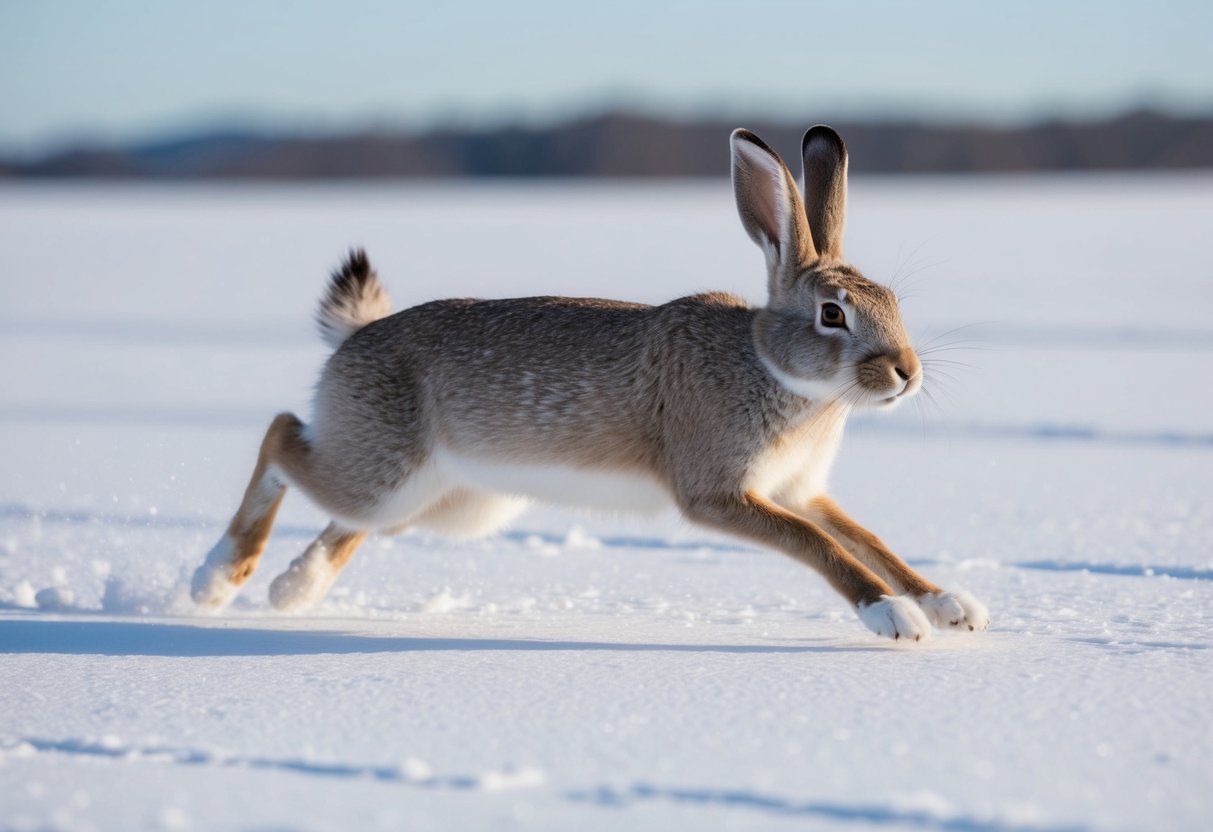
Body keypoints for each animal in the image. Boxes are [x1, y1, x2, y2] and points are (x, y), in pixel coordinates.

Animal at [190, 125, 989, 641]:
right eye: (832, 313)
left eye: (892, 300)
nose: (905, 372)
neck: (771, 365)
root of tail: (353, 338)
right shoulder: (720, 493)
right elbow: (818, 545)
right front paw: (894, 618)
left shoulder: (798, 488)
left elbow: (864, 536)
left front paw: (950, 605)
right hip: (384, 469)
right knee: (282, 437)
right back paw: (216, 579)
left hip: (449, 500)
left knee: (343, 515)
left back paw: (292, 589)